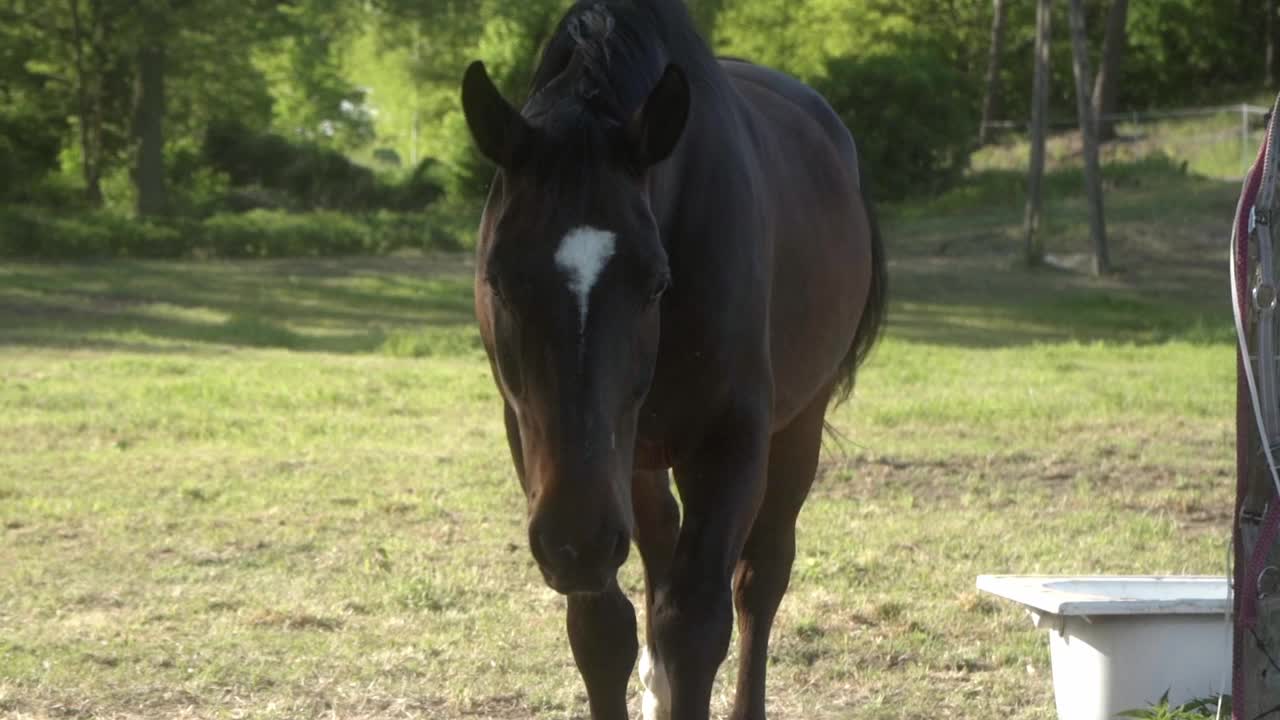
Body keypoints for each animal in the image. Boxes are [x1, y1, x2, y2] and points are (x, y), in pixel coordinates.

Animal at [463, 2, 890, 712]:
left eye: (657, 281)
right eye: (498, 279)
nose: (577, 539)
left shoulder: (729, 442)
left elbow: (696, 624)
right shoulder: (539, 446)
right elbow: (602, 630)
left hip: (796, 425)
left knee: (760, 578)